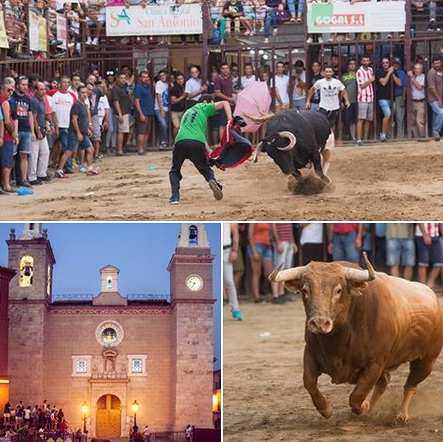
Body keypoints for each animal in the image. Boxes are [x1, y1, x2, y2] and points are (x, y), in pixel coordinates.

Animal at [268, 252, 443, 422]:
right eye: (305, 290)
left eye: (338, 290)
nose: (319, 323)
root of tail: (434, 298)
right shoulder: (311, 352)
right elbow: (309, 382)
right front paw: (326, 408)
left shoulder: (375, 364)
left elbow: (357, 395)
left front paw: (363, 407)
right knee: (384, 383)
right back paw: (373, 409)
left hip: (426, 361)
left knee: (410, 385)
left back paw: (401, 414)